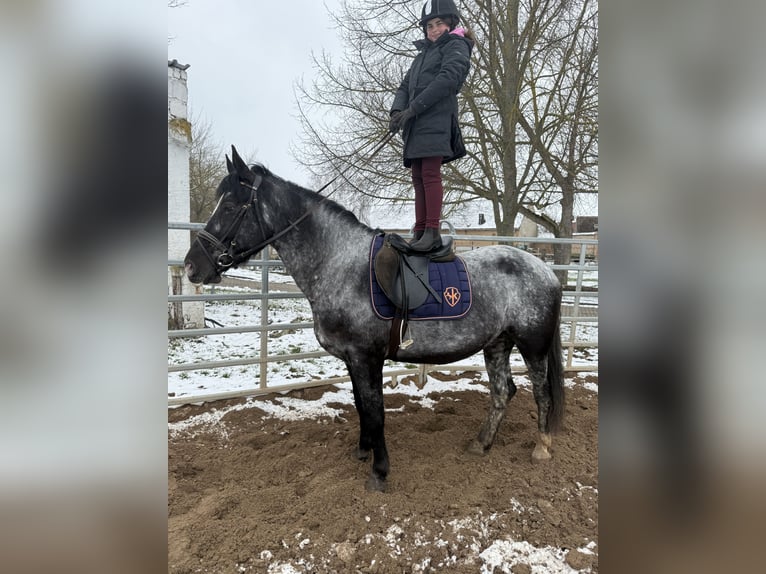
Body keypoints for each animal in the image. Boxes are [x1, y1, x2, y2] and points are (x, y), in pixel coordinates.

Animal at [186, 146, 568, 492]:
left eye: (231, 206)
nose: (192, 266)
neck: (339, 263)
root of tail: (546, 271)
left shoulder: (366, 357)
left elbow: (375, 410)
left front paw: (380, 471)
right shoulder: (352, 359)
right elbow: (360, 405)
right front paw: (363, 450)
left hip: (533, 345)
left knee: (540, 393)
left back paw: (542, 447)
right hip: (497, 343)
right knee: (503, 391)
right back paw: (481, 443)